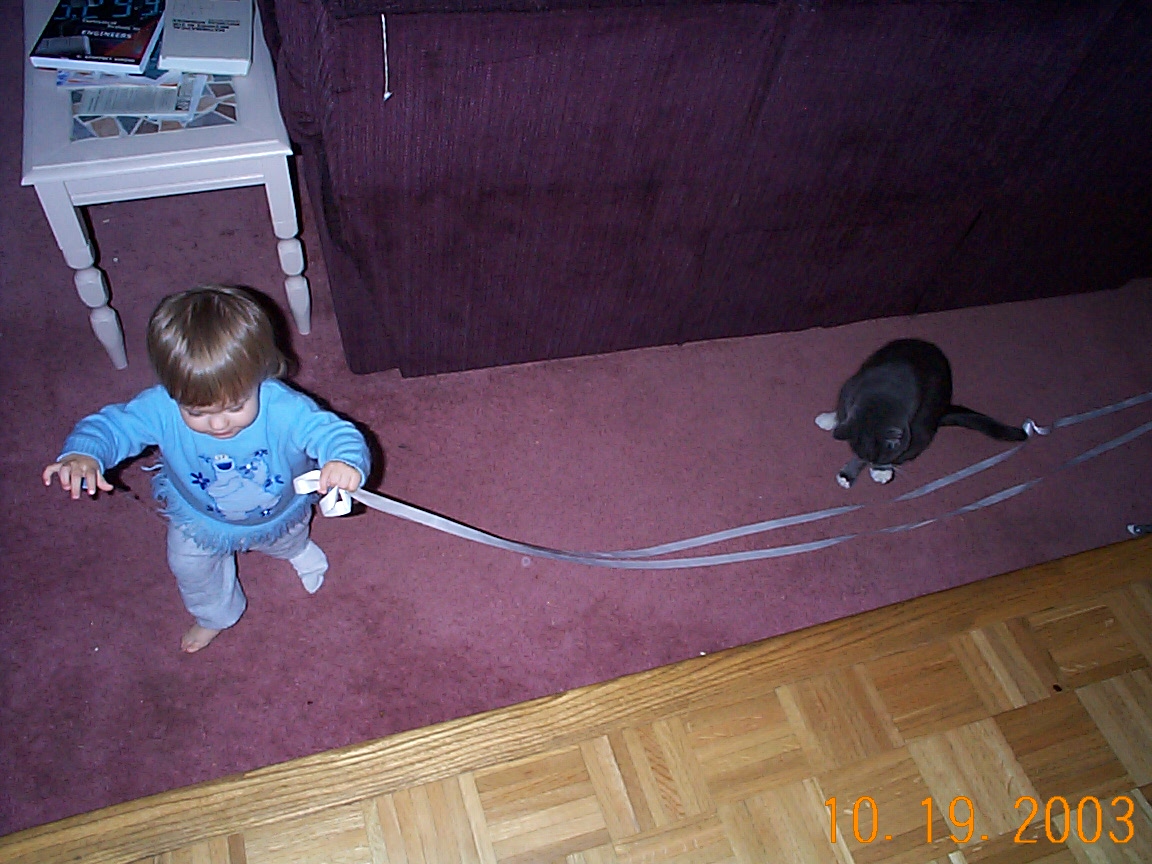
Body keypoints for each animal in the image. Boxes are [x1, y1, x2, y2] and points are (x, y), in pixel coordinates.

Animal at [815, 338, 1027, 488]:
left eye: (880, 459)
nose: (874, 463)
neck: (881, 396)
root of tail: (942, 411)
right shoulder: (849, 389)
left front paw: (879, 471)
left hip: (923, 428)